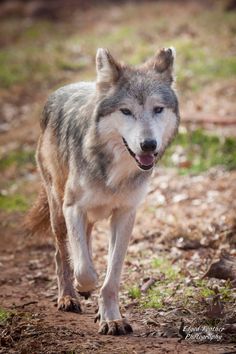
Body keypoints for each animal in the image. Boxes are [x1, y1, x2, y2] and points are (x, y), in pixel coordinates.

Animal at [26, 47, 179, 334]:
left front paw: (111, 318)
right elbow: (85, 269)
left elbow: (112, 276)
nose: (149, 145)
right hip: (58, 211)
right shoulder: (73, 207)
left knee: (82, 243)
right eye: (126, 111)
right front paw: (84, 287)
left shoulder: (125, 214)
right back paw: (68, 297)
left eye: (158, 109)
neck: (115, 173)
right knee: (61, 255)